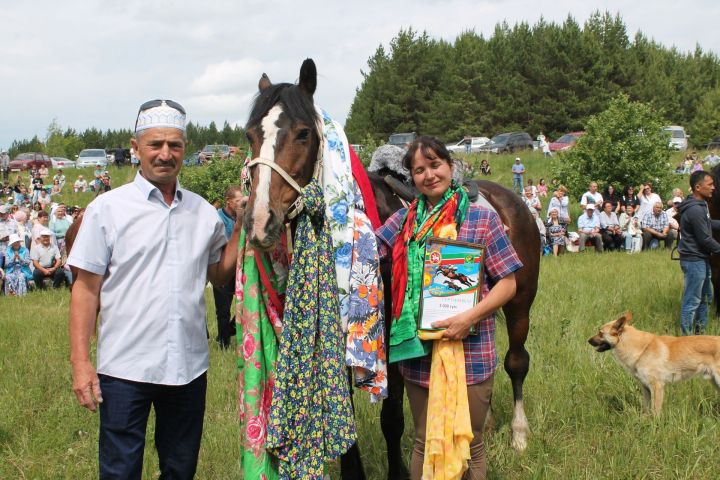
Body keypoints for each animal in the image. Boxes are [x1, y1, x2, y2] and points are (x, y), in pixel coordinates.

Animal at [245, 59, 536, 480]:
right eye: (251, 135)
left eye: (302, 134)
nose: (259, 221)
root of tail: (513, 200)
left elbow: (392, 419)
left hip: (520, 304)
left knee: (516, 362)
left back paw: (519, 433)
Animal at [588, 314, 720, 414]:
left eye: (600, 333)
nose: (588, 340)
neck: (642, 349)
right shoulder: (645, 388)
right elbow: (647, 410)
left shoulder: (657, 387)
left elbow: (655, 412)